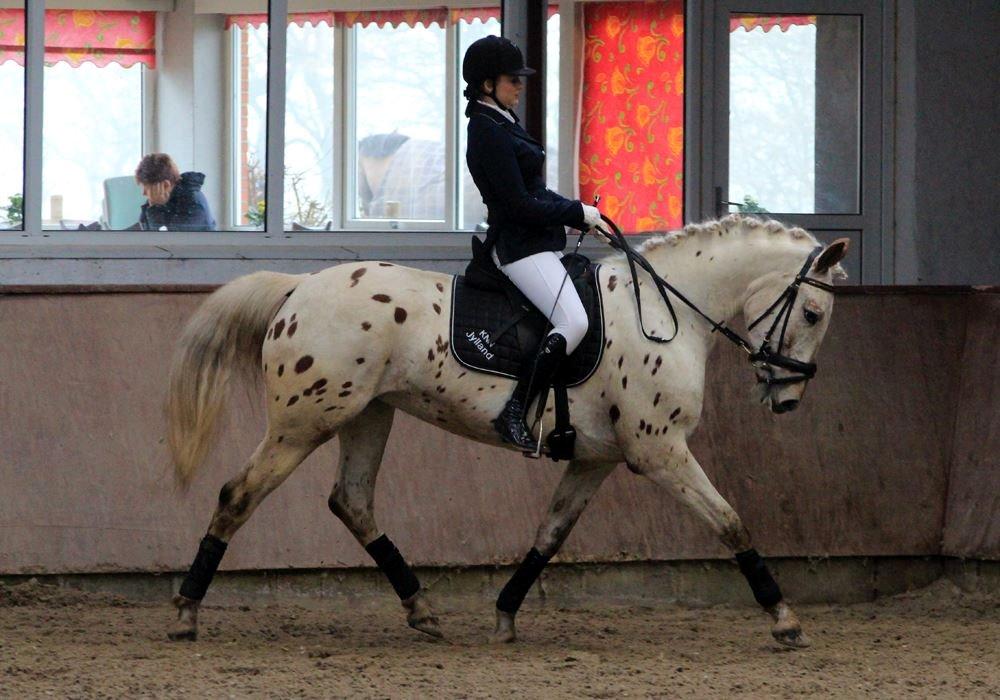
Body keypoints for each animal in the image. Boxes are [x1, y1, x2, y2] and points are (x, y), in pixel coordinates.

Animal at [168, 213, 848, 644]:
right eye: (813, 313)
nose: (788, 399)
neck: (662, 312)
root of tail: (301, 286)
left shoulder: (596, 458)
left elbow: (550, 535)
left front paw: (504, 615)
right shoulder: (659, 450)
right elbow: (731, 521)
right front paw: (785, 619)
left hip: (368, 415)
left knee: (352, 501)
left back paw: (423, 611)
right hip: (305, 421)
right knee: (238, 495)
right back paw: (185, 614)